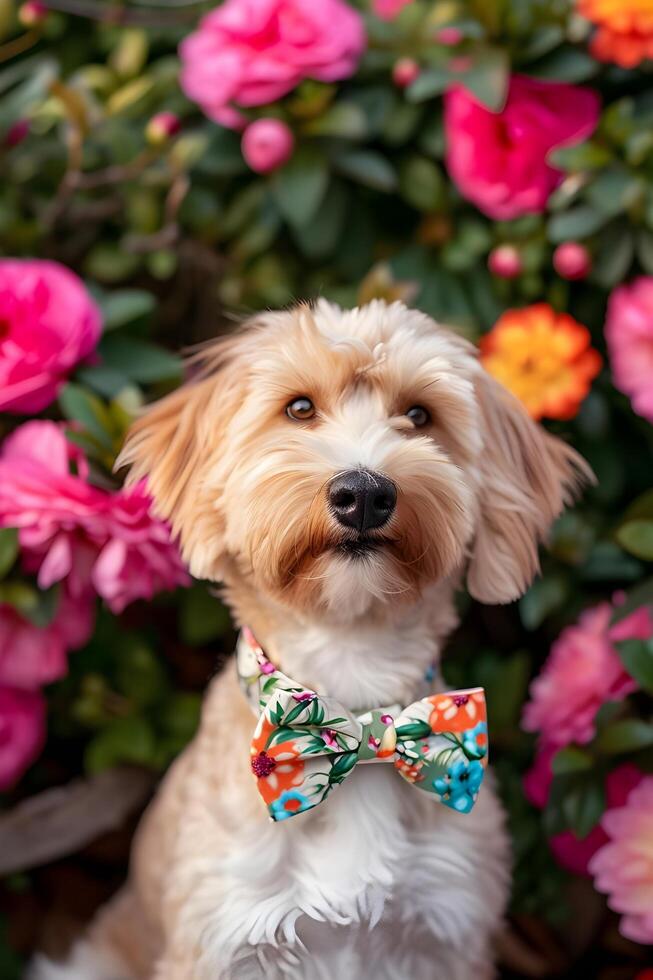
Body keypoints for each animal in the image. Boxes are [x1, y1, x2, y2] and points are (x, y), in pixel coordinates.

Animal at [33, 302, 588, 976]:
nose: (365, 494)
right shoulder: (223, 936)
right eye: (299, 408)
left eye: (419, 415)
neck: (351, 696)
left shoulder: (445, 933)